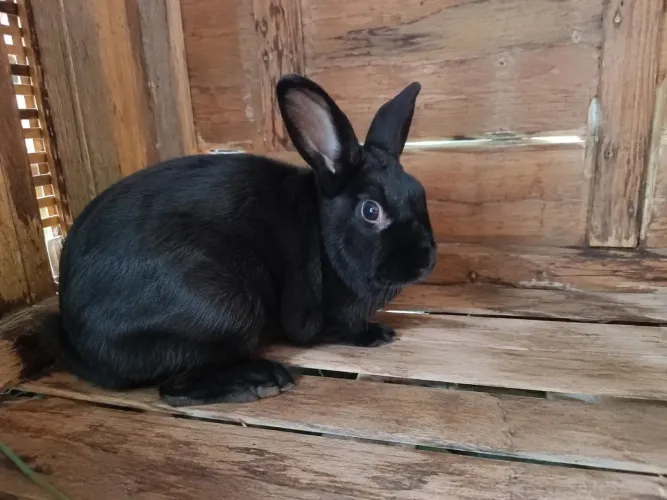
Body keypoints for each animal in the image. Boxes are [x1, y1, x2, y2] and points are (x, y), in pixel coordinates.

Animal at [46, 74, 437, 407]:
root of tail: (80, 339)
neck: (324, 234)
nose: (426, 260)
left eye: (419, 194)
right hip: (225, 305)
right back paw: (261, 382)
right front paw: (375, 333)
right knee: (175, 387)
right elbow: (339, 329)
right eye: (371, 211)